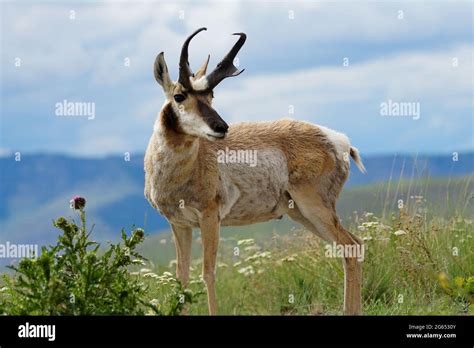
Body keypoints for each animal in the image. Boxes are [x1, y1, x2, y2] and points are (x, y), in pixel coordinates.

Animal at [144, 27, 366, 316]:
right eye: (179, 96)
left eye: (211, 96)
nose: (221, 127)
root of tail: (337, 139)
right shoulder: (179, 223)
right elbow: (181, 278)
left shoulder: (209, 216)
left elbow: (208, 273)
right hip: (301, 213)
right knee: (351, 247)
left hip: (315, 208)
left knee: (351, 246)